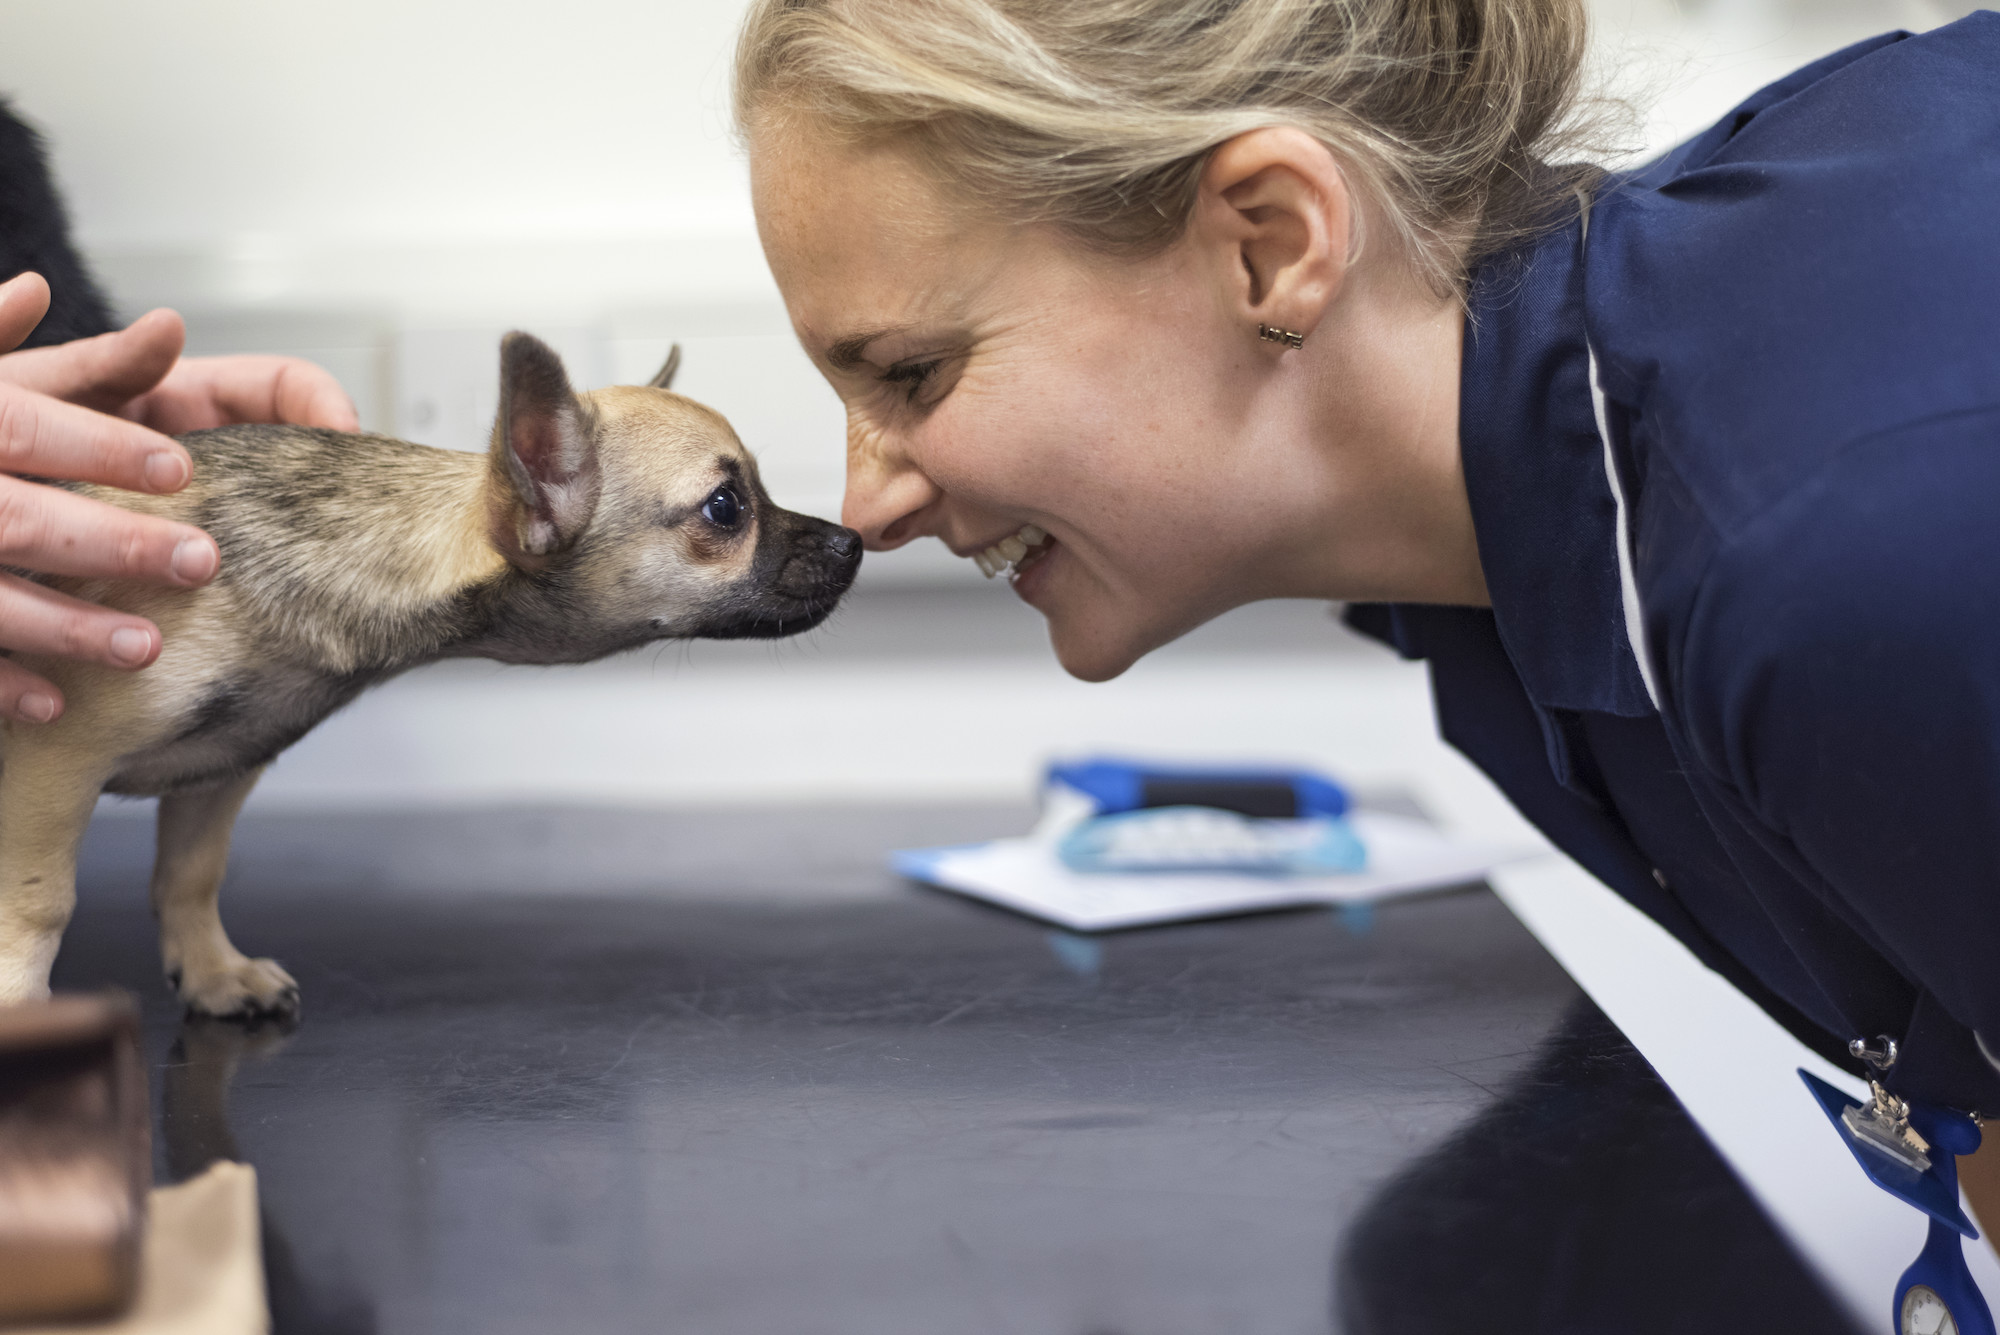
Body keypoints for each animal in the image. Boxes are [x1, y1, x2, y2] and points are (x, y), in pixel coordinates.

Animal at [0, 331, 852, 1011]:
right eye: (725, 508)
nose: (850, 541)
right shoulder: (52, 766)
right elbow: (40, 904)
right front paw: (27, 1015)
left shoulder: (218, 772)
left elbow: (189, 874)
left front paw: (214, 972)